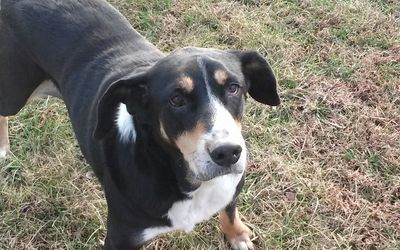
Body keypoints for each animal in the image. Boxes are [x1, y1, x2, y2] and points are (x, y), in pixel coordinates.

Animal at [0, 0, 280, 249]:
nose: (228, 153)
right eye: (176, 99)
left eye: (233, 88)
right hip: (13, 91)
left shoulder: (231, 188)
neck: (185, 181)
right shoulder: (121, 237)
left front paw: (238, 235)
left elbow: (229, 210)